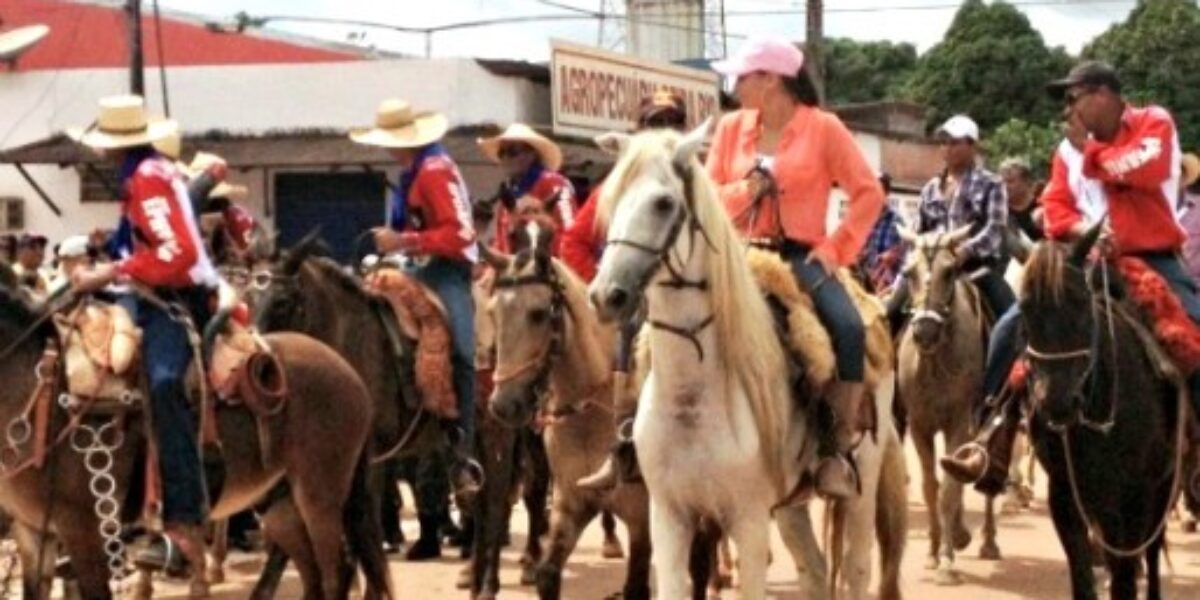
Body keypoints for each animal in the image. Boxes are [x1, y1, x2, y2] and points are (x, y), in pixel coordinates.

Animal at [0, 285, 388, 600]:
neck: (45, 395)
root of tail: (349, 372)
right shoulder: (32, 533)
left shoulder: (84, 530)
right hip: (280, 504)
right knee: (311, 574)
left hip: (320, 496)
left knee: (336, 571)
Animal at [585, 124, 902, 597]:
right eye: (611, 201)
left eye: (663, 203)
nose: (607, 295)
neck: (693, 396)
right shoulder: (670, 516)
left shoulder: (748, 520)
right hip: (790, 504)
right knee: (814, 569)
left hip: (862, 480)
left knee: (857, 568)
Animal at [1017, 225, 1185, 600]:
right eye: (1024, 310)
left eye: (1080, 303)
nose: (1056, 401)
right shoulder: (1065, 494)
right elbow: (1083, 579)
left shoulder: (1136, 495)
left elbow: (1125, 578)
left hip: (1163, 486)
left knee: (1152, 554)